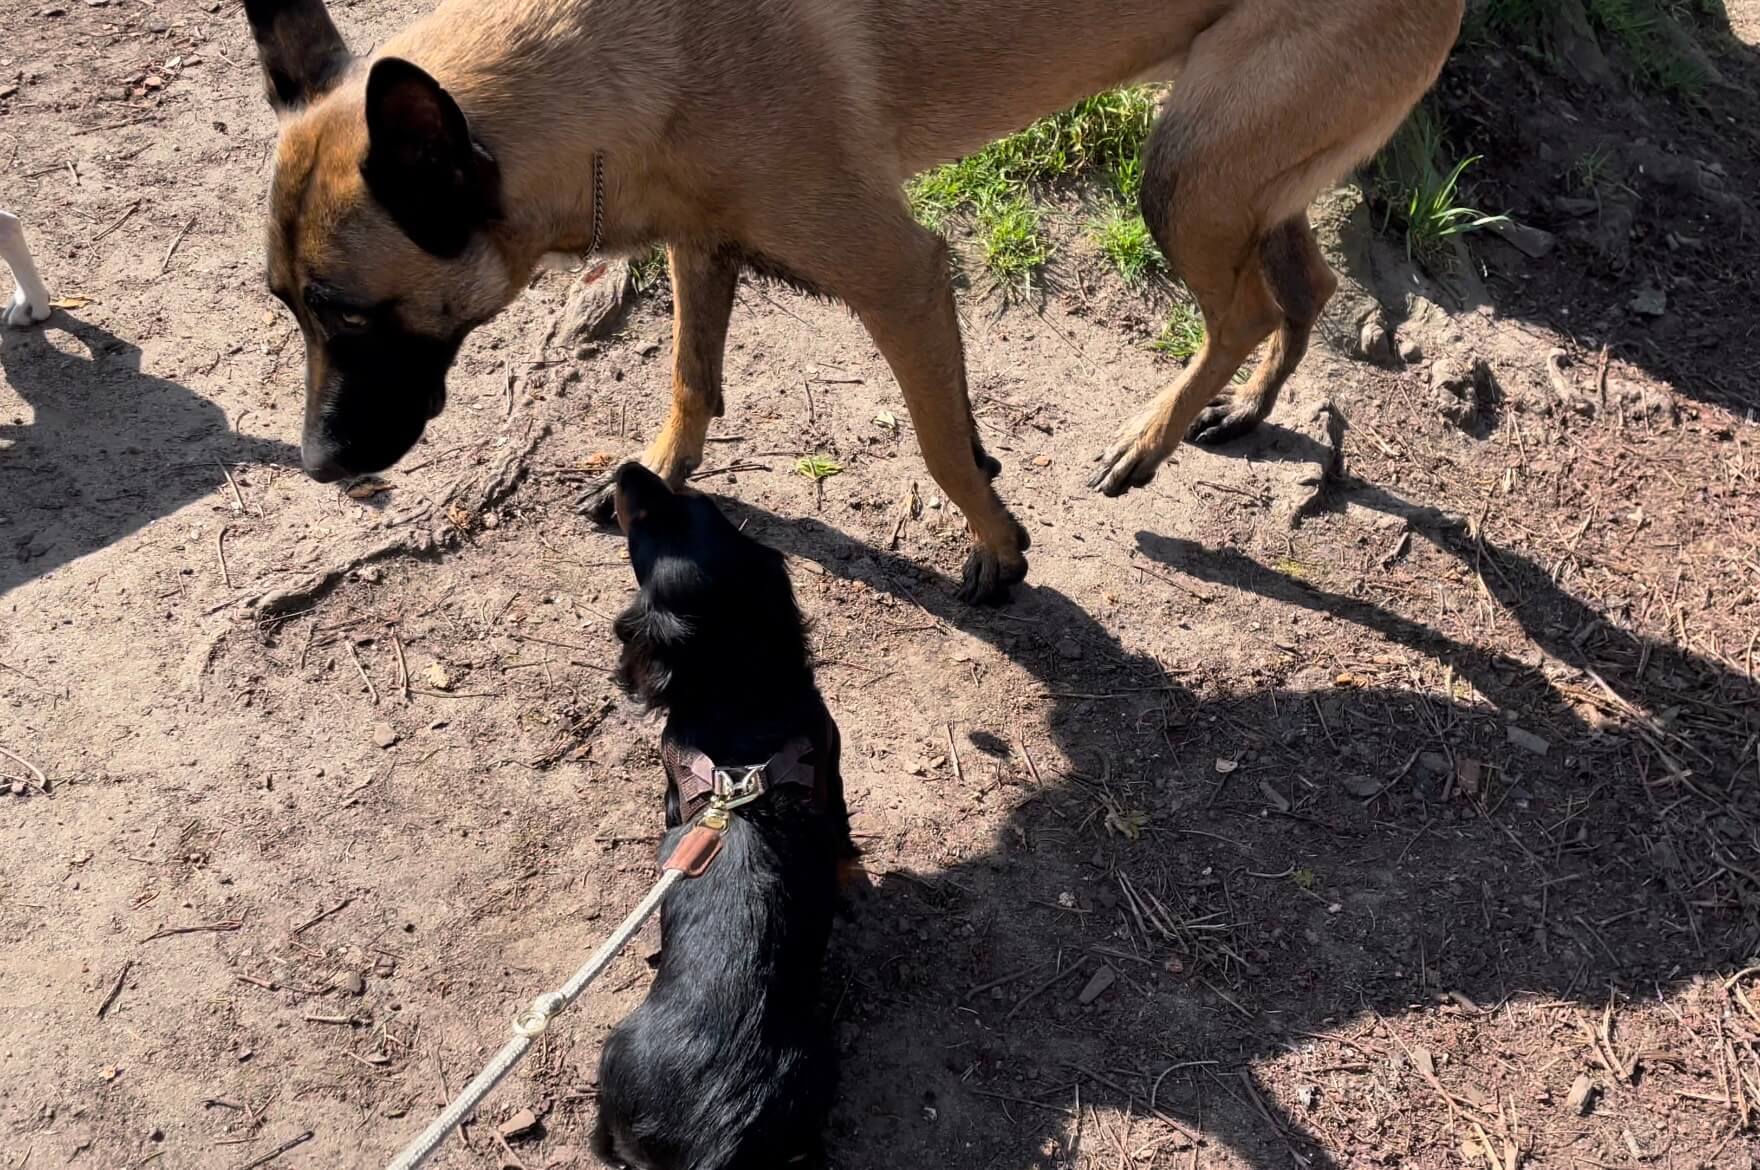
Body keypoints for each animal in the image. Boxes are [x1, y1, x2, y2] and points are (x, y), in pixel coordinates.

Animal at [241, 0, 1464, 601]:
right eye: (286, 307)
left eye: (350, 314)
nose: (315, 465)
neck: (618, 57)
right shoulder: (702, 238)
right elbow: (689, 377)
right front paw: (660, 469)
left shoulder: (900, 275)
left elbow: (938, 447)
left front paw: (997, 543)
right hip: (1235, 169)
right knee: (1301, 286)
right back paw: (1246, 411)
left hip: (1186, 179)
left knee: (1246, 308)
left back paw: (1149, 438)